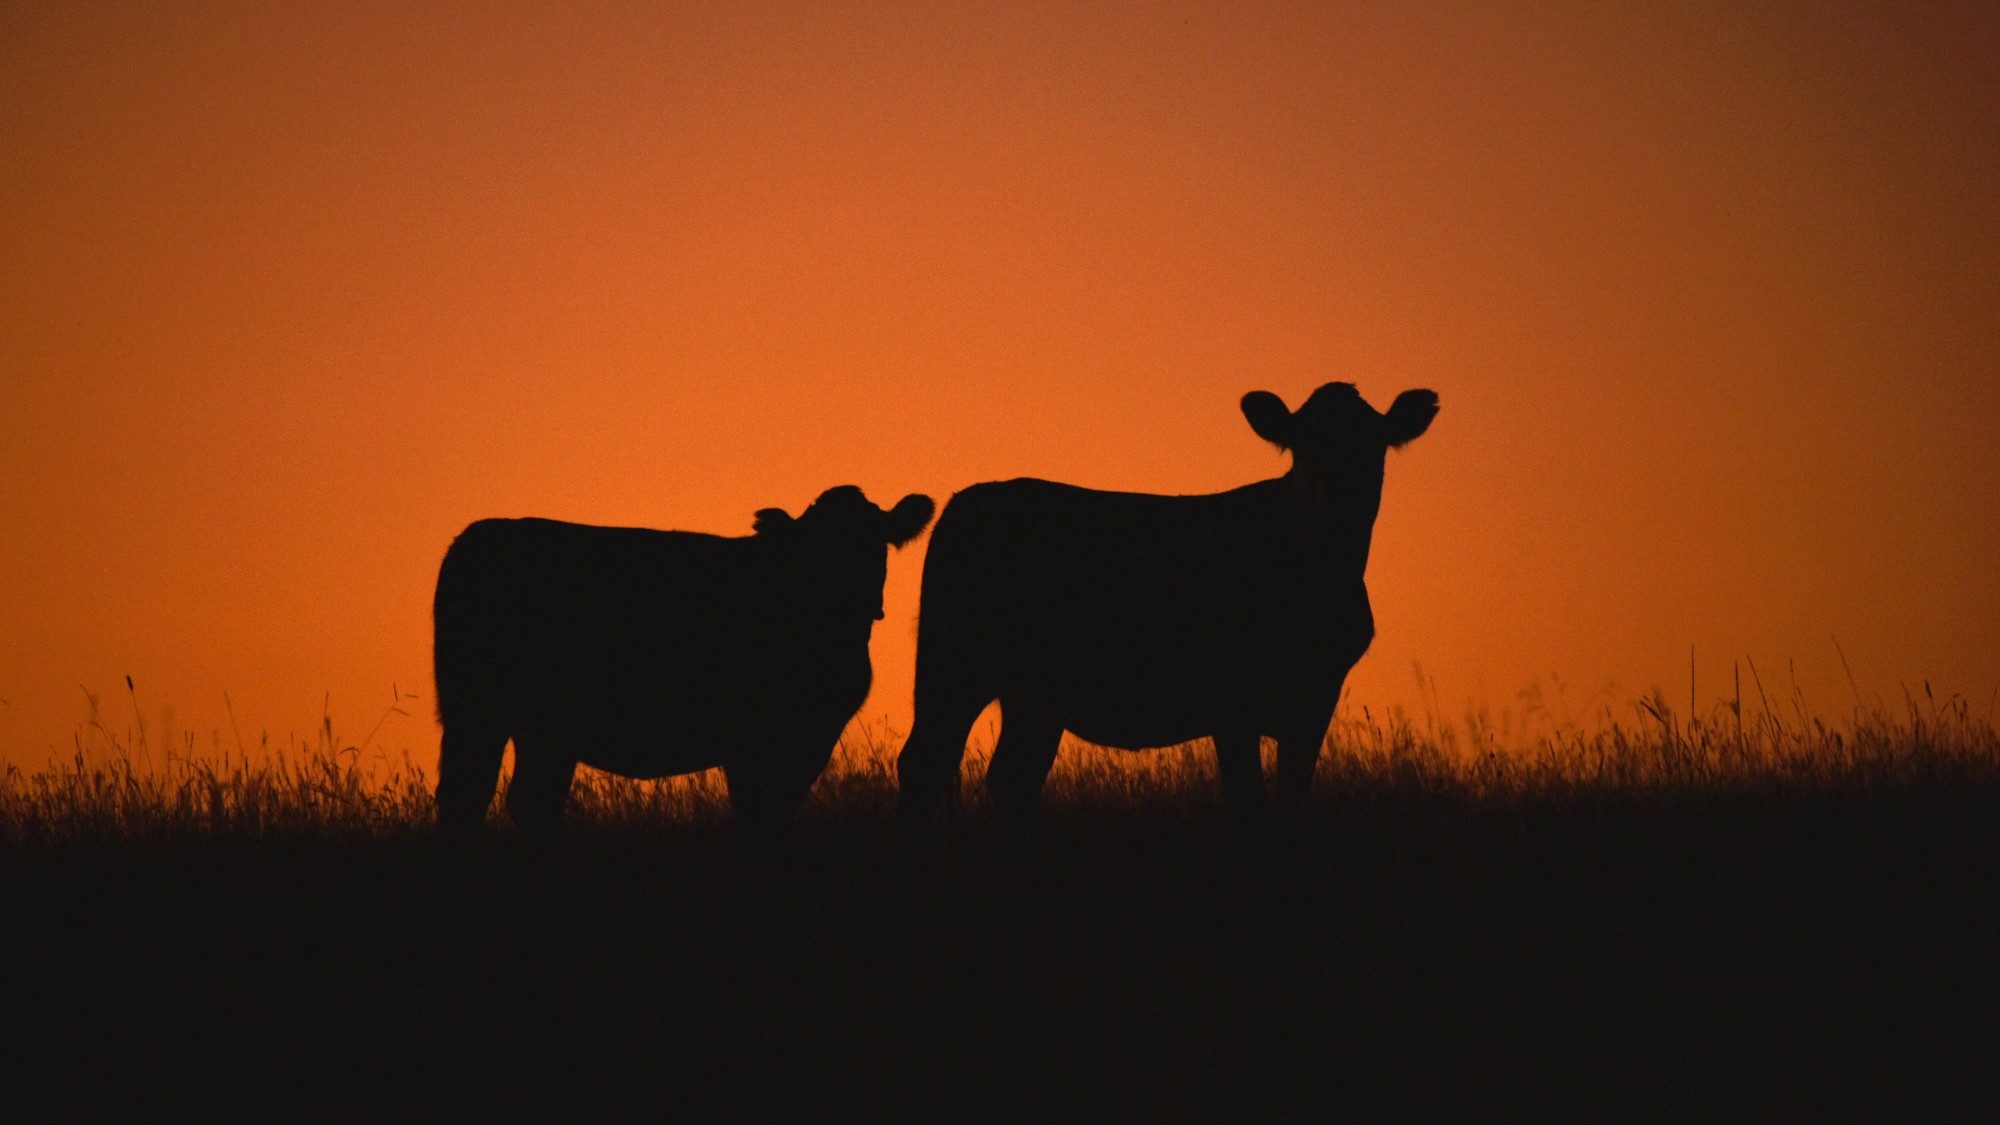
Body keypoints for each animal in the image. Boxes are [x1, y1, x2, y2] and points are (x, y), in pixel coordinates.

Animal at [433, 485, 935, 834]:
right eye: (816, 547)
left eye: (875, 542)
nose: (857, 599)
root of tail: (479, 534)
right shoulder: (753, 742)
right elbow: (758, 809)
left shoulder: (810, 739)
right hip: (493, 713)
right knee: (477, 796)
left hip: (527, 727)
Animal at [897, 382, 1437, 823]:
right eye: (1301, 444)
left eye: (1372, 443)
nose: (1335, 490)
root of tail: (966, 499)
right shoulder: (1232, 703)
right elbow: (1247, 800)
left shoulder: (1316, 696)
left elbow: (1291, 798)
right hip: (954, 663)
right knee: (924, 763)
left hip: (1033, 695)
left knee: (1011, 779)